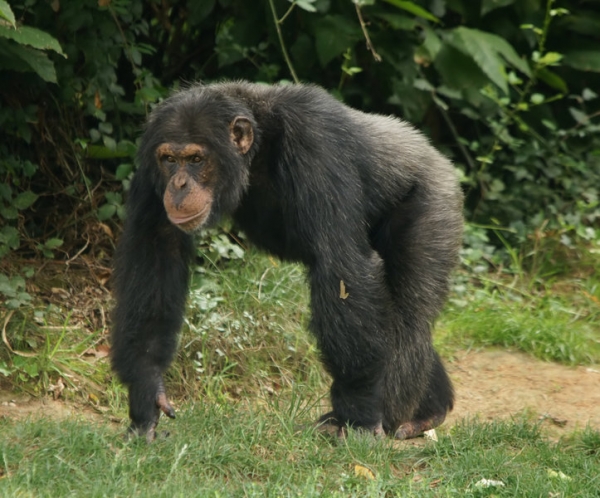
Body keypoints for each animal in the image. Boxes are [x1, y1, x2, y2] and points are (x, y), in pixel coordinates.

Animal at [110, 80, 462, 442]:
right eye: (169, 159)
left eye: (195, 159)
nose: (179, 184)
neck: (258, 147)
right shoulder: (149, 170)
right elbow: (156, 252)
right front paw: (147, 392)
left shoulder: (316, 143)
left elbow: (340, 265)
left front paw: (360, 413)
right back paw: (428, 409)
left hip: (432, 204)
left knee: (409, 313)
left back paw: (398, 415)